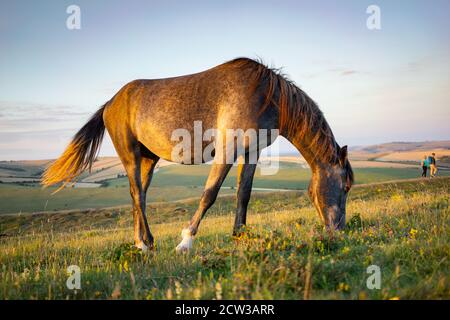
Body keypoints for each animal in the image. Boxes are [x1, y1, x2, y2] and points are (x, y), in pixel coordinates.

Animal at [41, 57, 352, 252]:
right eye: (346, 186)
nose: (339, 231)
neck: (266, 95)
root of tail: (111, 102)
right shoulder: (228, 148)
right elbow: (210, 193)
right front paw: (185, 241)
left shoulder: (251, 151)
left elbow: (244, 194)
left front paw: (239, 235)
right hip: (129, 154)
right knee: (136, 193)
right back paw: (148, 243)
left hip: (148, 158)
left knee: (139, 195)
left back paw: (139, 243)